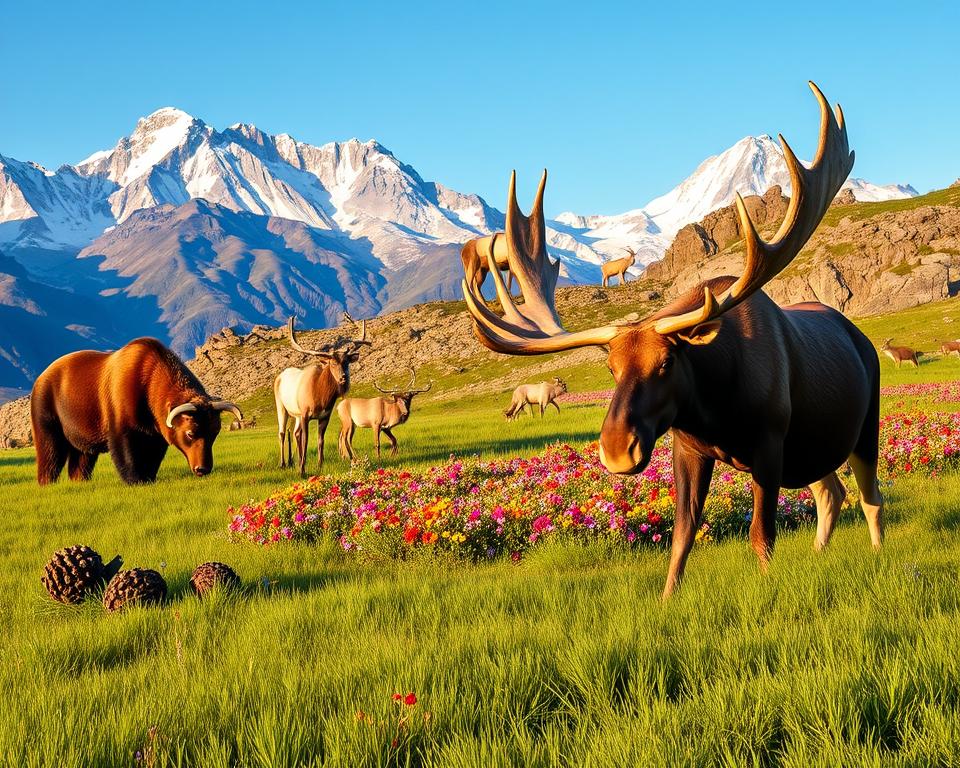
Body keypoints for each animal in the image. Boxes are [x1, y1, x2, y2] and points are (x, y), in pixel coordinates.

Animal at [274, 314, 371, 474]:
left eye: (346, 362)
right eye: (333, 363)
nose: (343, 378)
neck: (322, 397)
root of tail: (279, 376)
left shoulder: (325, 416)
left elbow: (320, 440)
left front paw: (319, 465)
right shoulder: (305, 414)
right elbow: (306, 440)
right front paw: (302, 470)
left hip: (297, 415)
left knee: (295, 433)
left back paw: (295, 461)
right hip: (282, 407)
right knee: (282, 433)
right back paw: (283, 463)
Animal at [459, 83, 884, 599]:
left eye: (666, 363)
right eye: (611, 369)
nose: (616, 450)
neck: (717, 406)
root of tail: (862, 340)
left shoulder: (769, 444)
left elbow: (761, 534)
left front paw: (767, 587)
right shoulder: (689, 447)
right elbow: (683, 534)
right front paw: (667, 598)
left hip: (863, 429)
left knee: (870, 497)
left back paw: (882, 556)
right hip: (813, 446)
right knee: (831, 492)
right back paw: (821, 554)